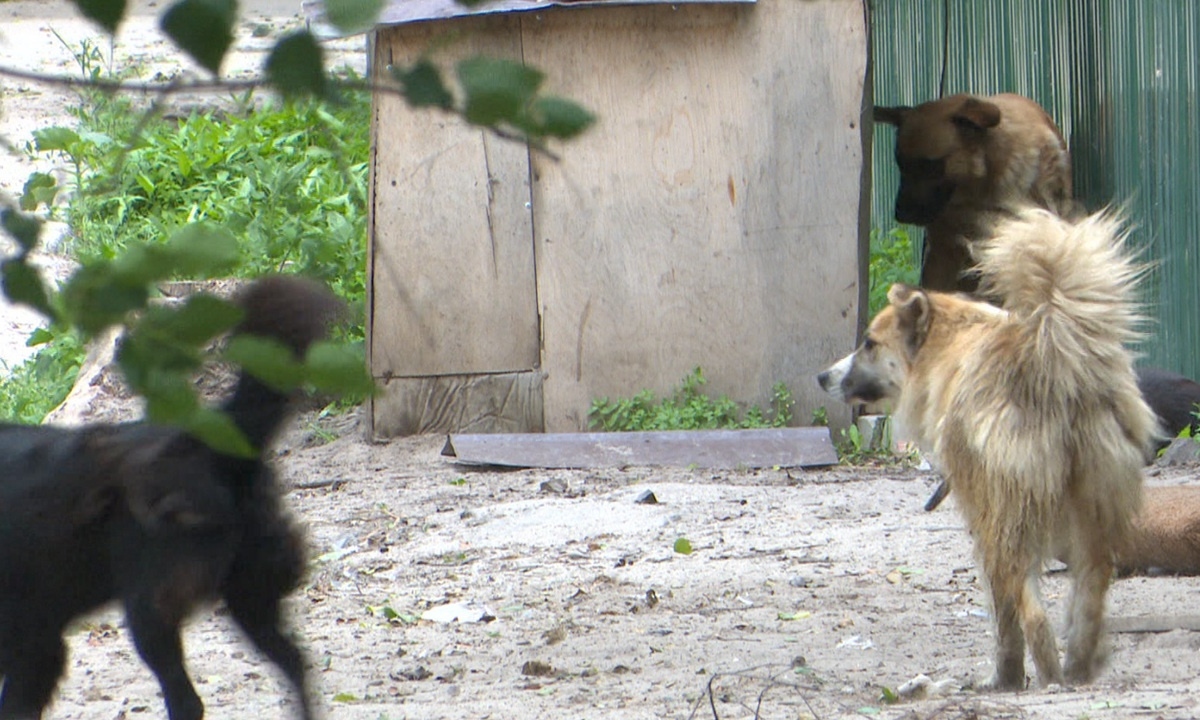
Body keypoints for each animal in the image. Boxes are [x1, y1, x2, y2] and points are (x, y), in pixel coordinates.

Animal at [1, 276, 338, 720]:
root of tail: (209, 443)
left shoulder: (33, 644)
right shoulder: (37, 643)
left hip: (151, 609)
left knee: (187, 700)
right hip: (250, 594)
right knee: (297, 664)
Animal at [816, 206, 1152, 686]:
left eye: (869, 343)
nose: (821, 377)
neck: (947, 347)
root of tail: (1048, 359)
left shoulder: (980, 512)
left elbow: (1004, 616)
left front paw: (1006, 676)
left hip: (1006, 520)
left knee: (1033, 613)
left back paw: (1046, 677)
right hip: (1095, 505)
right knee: (1089, 600)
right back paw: (1078, 671)